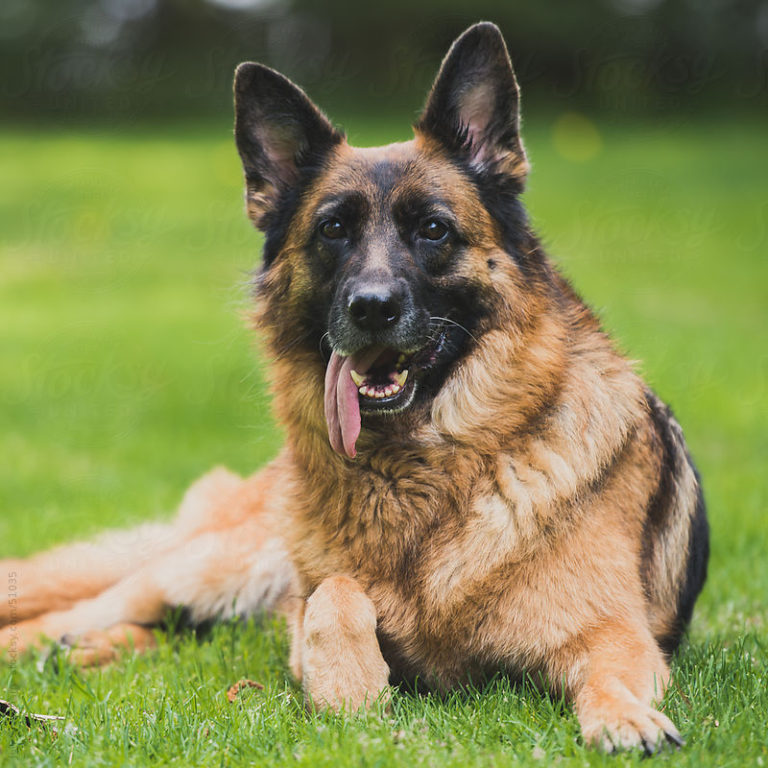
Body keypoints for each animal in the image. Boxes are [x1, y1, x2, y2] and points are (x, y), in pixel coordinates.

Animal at [0, 22, 708, 752]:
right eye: (333, 229)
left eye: (433, 229)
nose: (370, 308)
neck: (426, 470)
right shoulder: (307, 607)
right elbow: (334, 593)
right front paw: (351, 689)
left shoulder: (613, 634)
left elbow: (612, 673)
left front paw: (623, 716)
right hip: (203, 572)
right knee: (71, 612)